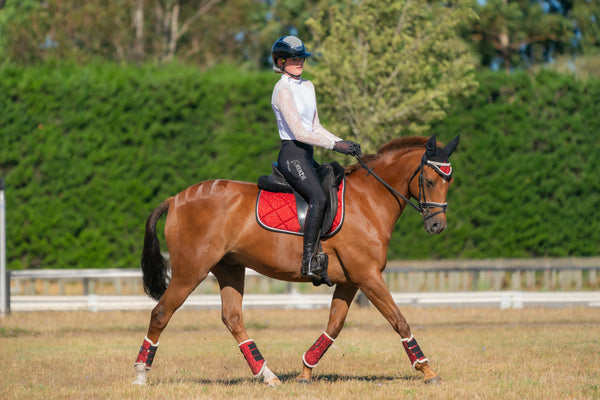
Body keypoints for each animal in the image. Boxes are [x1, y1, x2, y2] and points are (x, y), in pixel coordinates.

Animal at [132, 135, 460, 388]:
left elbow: (334, 325)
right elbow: (399, 320)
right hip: (190, 271)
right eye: (429, 180)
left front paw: (305, 371)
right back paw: (140, 374)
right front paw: (427, 370)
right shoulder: (368, 276)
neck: (369, 200)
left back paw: (268, 375)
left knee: (232, 318)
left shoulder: (351, 280)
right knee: (161, 313)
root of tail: (175, 199)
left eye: (450, 181)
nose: (437, 226)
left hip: (229, 268)